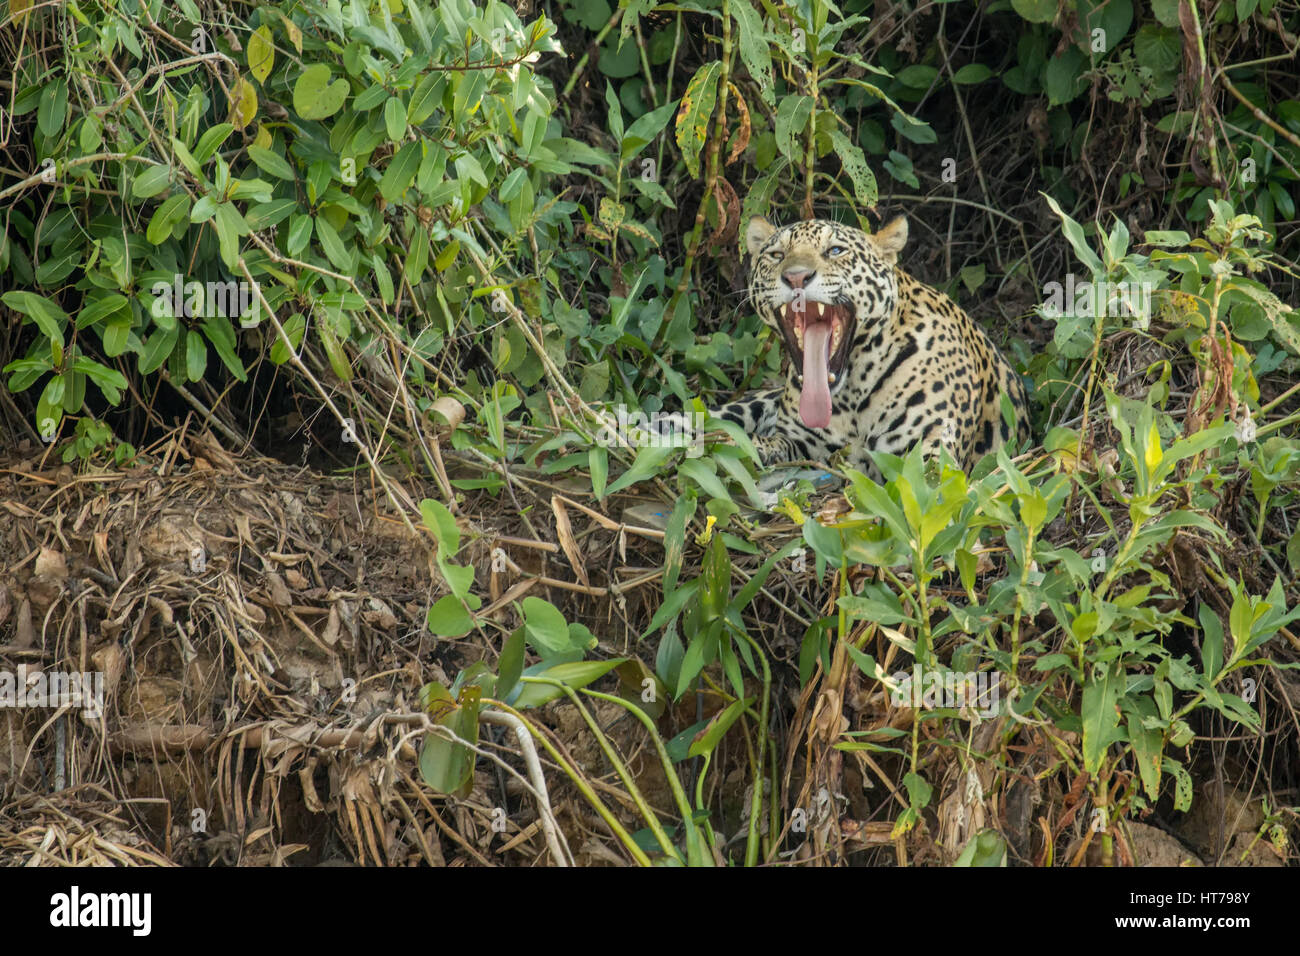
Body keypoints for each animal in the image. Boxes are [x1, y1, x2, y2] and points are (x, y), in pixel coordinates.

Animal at [710, 215, 1032, 476]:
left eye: (835, 250)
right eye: (777, 255)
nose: (796, 276)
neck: (850, 395)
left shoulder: (929, 454)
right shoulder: (801, 443)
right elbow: (769, 444)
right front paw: (741, 445)